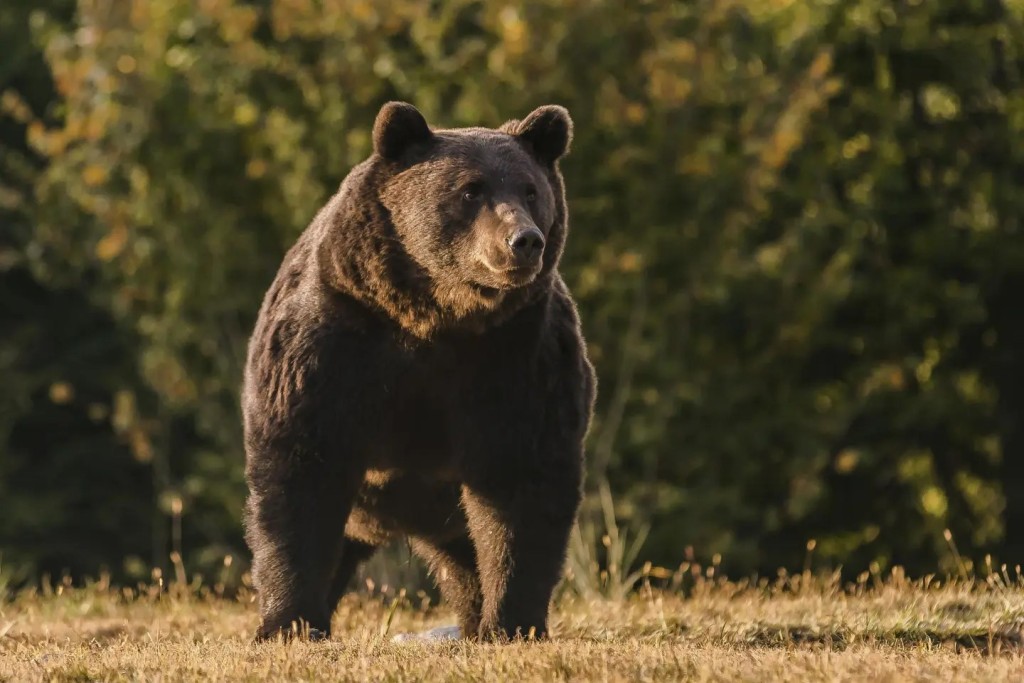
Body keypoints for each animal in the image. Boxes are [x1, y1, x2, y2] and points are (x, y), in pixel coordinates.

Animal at [242, 100, 598, 643]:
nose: (524, 241)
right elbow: (300, 468)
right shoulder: (334, 341)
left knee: (467, 559)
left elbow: (522, 482)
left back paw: (473, 622)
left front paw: (512, 622)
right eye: (471, 189)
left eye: (531, 190)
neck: (436, 315)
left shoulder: (517, 356)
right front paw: (288, 623)